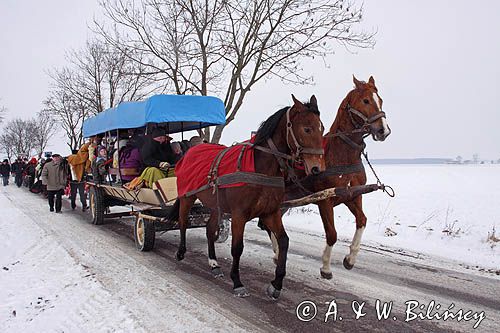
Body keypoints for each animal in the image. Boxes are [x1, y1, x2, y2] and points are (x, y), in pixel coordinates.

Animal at [170, 94, 324, 298]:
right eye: (307, 128)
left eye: (322, 128)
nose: (316, 168)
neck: (261, 169)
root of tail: (190, 151)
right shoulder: (239, 215)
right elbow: (237, 248)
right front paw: (237, 281)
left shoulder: (271, 212)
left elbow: (283, 241)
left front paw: (276, 283)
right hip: (187, 196)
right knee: (183, 222)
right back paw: (181, 251)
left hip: (215, 204)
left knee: (210, 229)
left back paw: (214, 263)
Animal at [270, 75, 390, 278]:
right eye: (366, 100)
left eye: (380, 100)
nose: (383, 130)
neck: (343, 155)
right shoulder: (324, 199)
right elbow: (332, 234)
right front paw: (325, 266)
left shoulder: (352, 195)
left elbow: (362, 220)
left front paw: (350, 259)